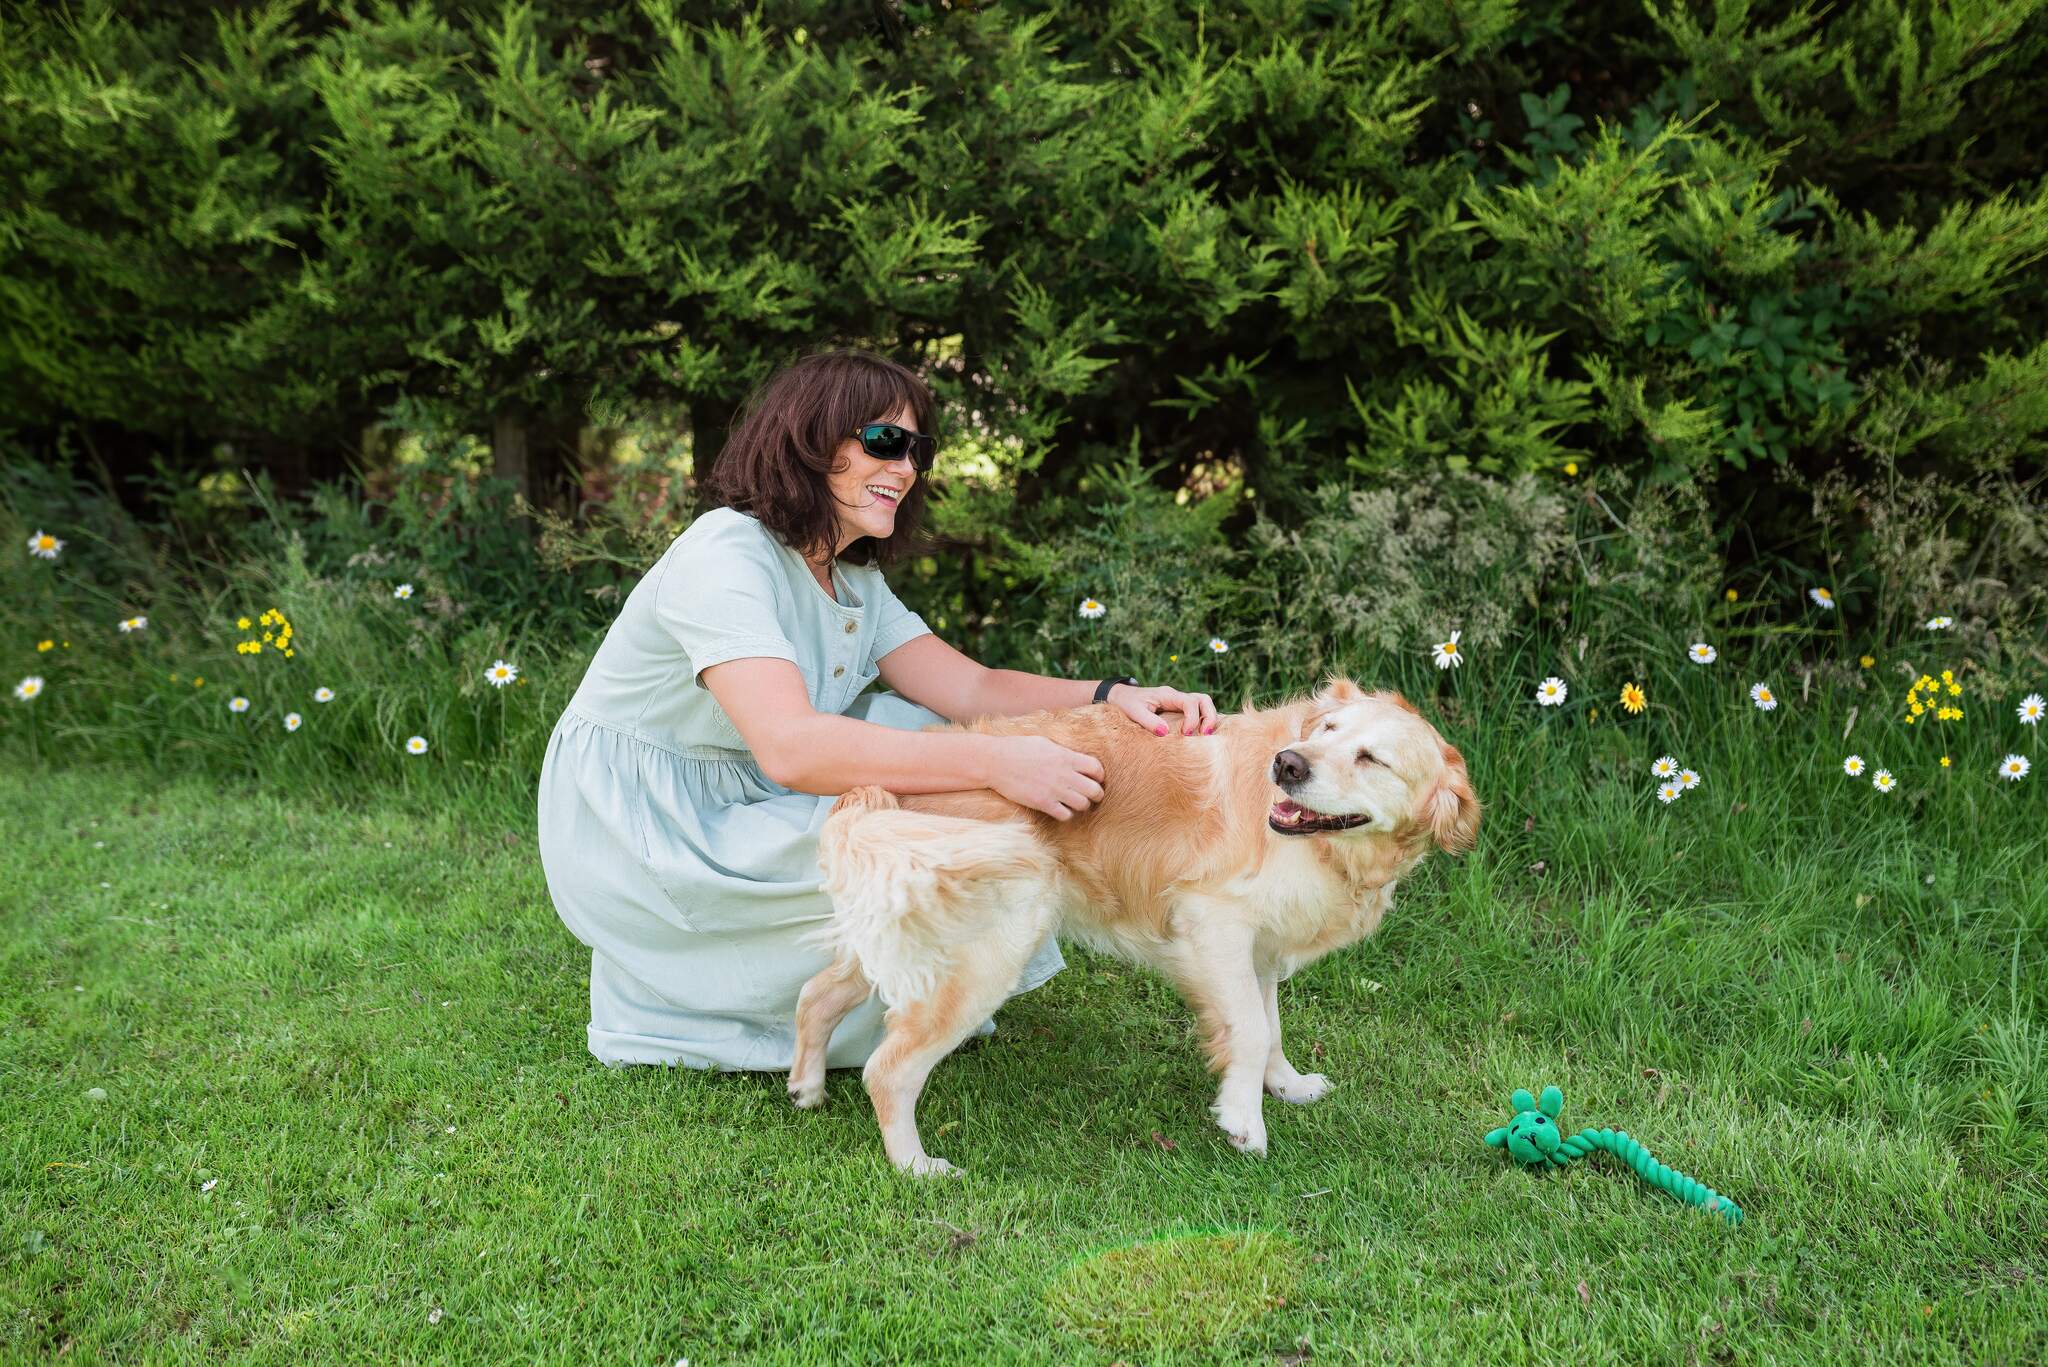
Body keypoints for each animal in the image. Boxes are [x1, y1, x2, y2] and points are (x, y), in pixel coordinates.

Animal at [782, 676, 1474, 1180]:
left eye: (1371, 758)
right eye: (1328, 729)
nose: (1287, 764)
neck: (1333, 850)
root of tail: (881, 789)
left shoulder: (1260, 949)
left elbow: (1271, 1026)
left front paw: (1288, 1086)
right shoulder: (1214, 923)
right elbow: (1251, 1030)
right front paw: (1244, 1122)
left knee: (815, 995)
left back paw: (807, 1089)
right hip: (989, 953)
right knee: (887, 1068)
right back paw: (916, 1166)